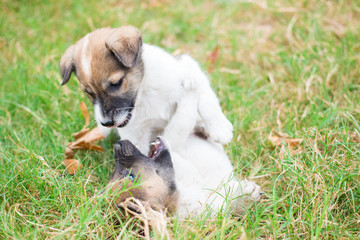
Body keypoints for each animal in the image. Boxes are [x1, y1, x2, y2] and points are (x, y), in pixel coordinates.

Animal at [59, 26, 233, 154]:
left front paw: (220, 128)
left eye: (116, 83)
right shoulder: (136, 138)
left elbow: (207, 99)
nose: (107, 123)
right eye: (88, 92)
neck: (144, 93)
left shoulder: (187, 66)